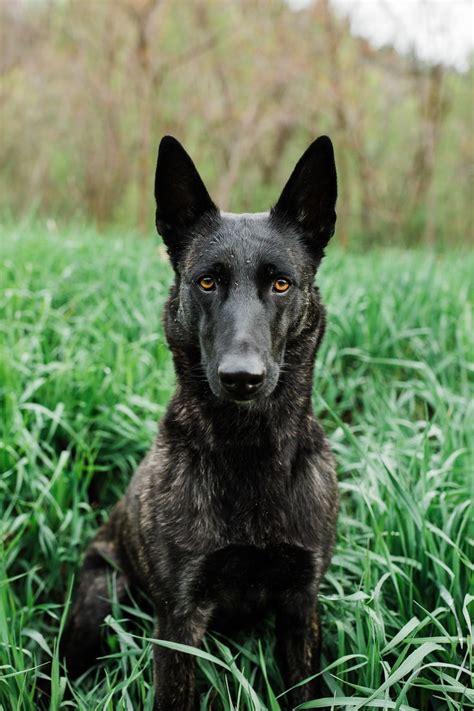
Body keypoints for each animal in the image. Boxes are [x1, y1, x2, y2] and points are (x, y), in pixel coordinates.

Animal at [61, 135, 338, 711]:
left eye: (282, 284)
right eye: (206, 281)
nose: (241, 377)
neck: (249, 451)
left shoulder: (301, 606)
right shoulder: (179, 622)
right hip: (99, 599)